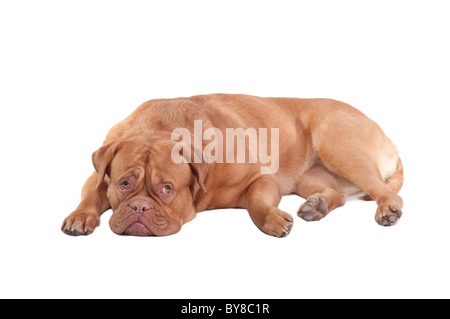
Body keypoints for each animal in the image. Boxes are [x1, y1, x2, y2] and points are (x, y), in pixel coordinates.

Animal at [61, 94, 402, 238]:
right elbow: (90, 194)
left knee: (385, 191)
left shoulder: (261, 180)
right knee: (338, 194)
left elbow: (255, 202)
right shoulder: (99, 173)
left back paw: (387, 210)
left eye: (167, 188)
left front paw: (272, 219)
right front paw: (80, 216)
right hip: (310, 178)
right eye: (124, 184)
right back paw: (316, 205)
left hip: (340, 146)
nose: (139, 207)